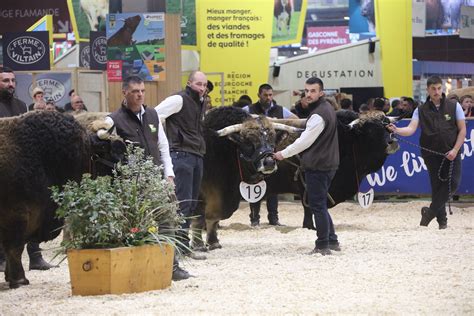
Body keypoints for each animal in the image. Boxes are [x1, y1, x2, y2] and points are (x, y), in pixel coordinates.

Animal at [188, 107, 300, 251]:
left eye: (272, 139)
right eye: (248, 142)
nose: (269, 162)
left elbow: (213, 219)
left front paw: (213, 242)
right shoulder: (199, 196)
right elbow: (198, 219)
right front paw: (198, 245)